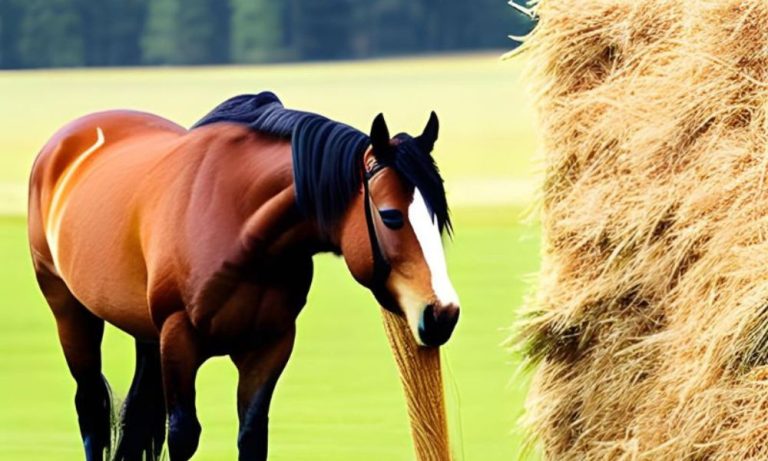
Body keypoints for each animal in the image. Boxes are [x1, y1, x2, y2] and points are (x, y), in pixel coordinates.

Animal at [27, 91, 460, 461]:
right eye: (391, 215)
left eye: (438, 215)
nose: (443, 313)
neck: (240, 227)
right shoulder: (178, 337)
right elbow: (183, 435)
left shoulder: (269, 346)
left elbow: (252, 436)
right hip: (70, 310)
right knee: (91, 410)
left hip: (145, 332)